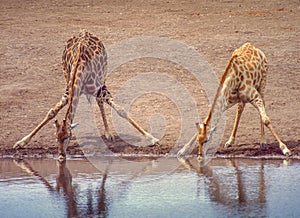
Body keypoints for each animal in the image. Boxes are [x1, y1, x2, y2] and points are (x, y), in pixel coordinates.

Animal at [13, 30, 159, 160]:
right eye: (56, 137)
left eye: (68, 136)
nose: (61, 156)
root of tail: (85, 31)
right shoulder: (68, 92)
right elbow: (52, 112)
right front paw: (21, 142)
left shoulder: (100, 88)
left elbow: (121, 110)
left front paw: (152, 138)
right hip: (67, 75)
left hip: (103, 75)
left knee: (100, 101)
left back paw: (108, 133)